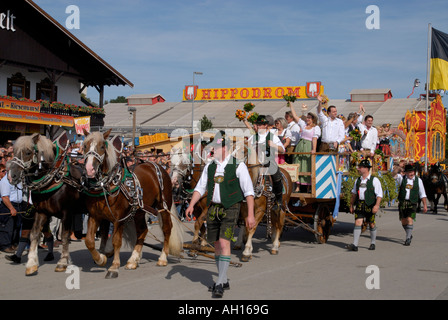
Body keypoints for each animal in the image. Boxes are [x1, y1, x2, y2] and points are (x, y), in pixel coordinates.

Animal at [9, 132, 85, 276]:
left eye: (28, 152)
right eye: (14, 151)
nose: (12, 176)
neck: (55, 179)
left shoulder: (67, 213)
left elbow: (65, 236)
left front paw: (62, 262)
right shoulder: (41, 212)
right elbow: (34, 234)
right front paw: (31, 264)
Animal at [82, 129, 182, 278]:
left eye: (102, 146)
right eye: (85, 146)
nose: (89, 169)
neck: (108, 184)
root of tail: (155, 165)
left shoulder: (118, 219)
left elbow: (116, 241)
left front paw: (114, 267)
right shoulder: (95, 216)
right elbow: (89, 241)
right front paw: (101, 259)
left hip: (163, 206)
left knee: (166, 229)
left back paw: (162, 258)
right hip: (140, 211)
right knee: (143, 230)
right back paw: (133, 260)